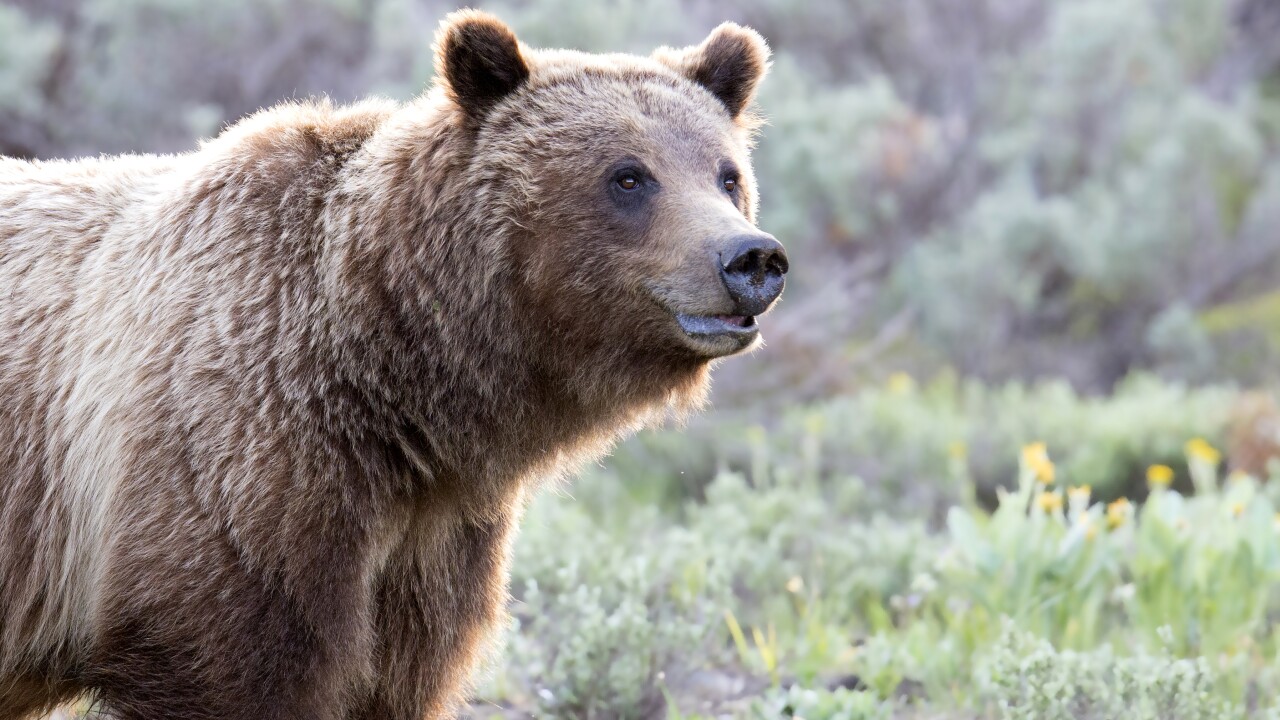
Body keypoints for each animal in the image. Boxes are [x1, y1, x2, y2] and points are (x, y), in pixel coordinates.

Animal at [0, 10, 786, 720]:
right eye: (628, 176)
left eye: (726, 176)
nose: (750, 258)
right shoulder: (229, 474)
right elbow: (228, 663)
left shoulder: (427, 554)